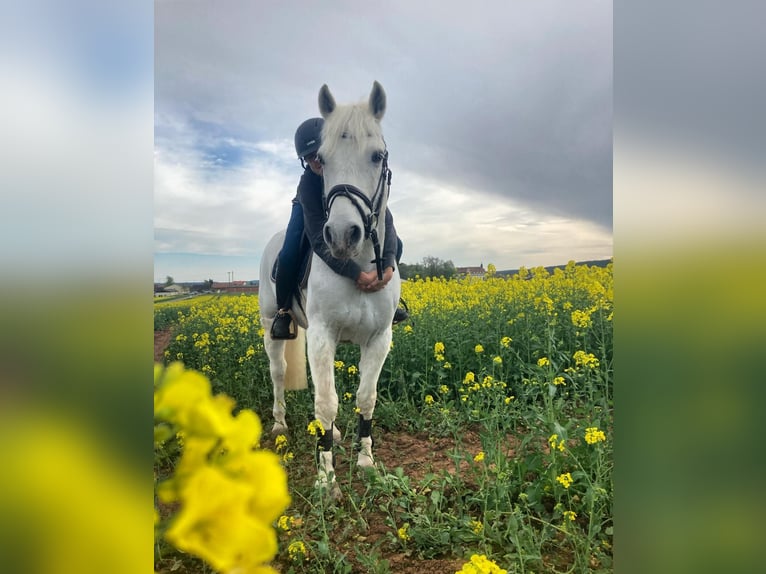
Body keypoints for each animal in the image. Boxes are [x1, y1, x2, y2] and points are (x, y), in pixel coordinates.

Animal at [260, 82, 402, 496]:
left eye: (377, 156)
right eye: (321, 160)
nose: (341, 235)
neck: (358, 266)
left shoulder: (379, 338)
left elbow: (365, 398)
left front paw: (367, 462)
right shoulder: (322, 334)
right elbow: (325, 402)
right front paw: (326, 480)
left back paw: (336, 434)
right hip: (271, 326)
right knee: (278, 373)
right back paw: (279, 423)